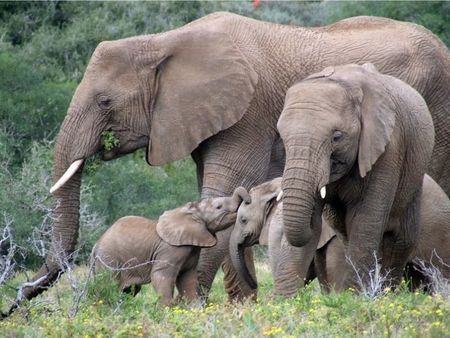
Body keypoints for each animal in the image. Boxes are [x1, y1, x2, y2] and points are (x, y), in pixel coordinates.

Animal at [91, 186, 250, 304]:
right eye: (218, 207)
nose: (248, 200)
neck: (190, 212)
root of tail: (96, 245)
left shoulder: (192, 250)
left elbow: (187, 279)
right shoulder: (170, 249)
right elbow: (161, 276)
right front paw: (167, 310)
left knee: (129, 290)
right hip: (109, 259)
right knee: (109, 285)